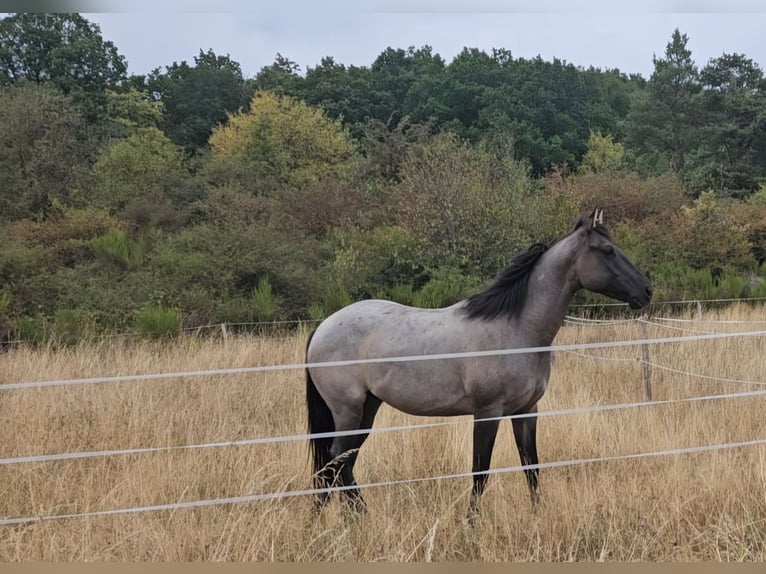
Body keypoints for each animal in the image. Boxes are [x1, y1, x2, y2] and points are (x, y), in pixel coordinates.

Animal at [305, 209, 652, 516]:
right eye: (608, 250)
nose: (646, 290)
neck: (517, 329)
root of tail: (323, 327)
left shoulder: (527, 411)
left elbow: (532, 467)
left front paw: (538, 516)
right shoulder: (487, 413)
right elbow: (480, 471)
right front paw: (471, 522)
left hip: (369, 407)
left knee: (341, 462)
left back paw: (339, 517)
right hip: (348, 410)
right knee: (335, 460)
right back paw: (353, 516)